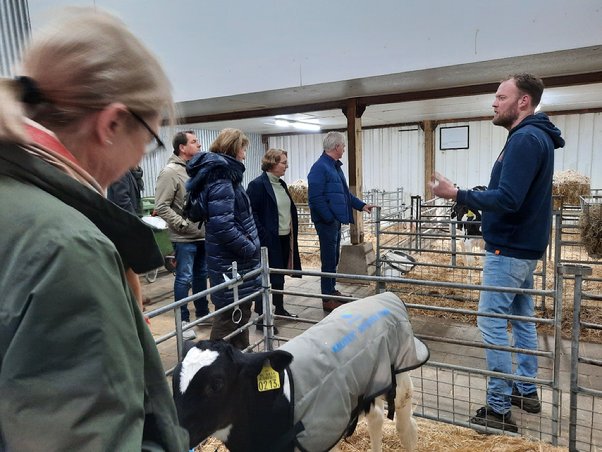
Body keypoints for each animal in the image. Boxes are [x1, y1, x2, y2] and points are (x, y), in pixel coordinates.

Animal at [171, 292, 428, 450]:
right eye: (173, 382)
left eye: (216, 384)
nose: (176, 435)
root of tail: (383, 296)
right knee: (375, 418)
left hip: (400, 378)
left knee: (407, 428)